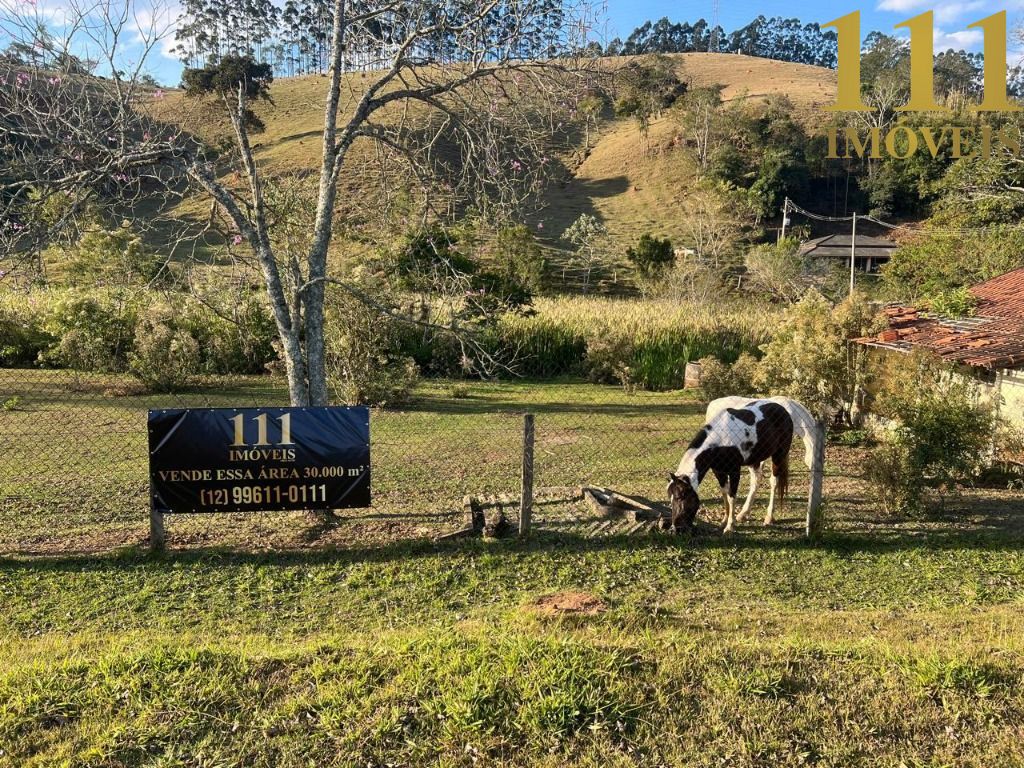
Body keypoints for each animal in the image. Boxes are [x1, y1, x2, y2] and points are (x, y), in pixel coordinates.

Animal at [667, 403, 794, 536]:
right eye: (671, 499)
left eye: (681, 497)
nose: (676, 529)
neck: (719, 441)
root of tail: (783, 410)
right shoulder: (718, 471)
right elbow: (725, 493)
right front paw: (724, 521)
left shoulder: (734, 471)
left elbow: (732, 496)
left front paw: (730, 526)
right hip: (755, 460)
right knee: (756, 481)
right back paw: (743, 514)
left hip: (779, 455)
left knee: (774, 482)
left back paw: (769, 517)